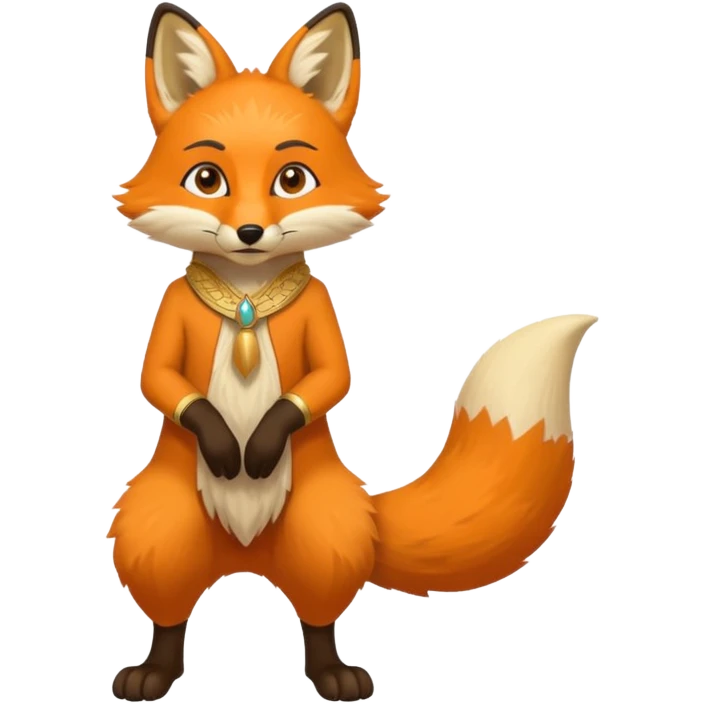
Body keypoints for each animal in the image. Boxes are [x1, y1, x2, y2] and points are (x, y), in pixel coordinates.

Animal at [108, 2, 597, 702]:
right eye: (207, 179)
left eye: (292, 179)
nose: (250, 232)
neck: (248, 298)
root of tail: (245, 554)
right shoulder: (171, 314)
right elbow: (161, 380)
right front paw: (228, 447)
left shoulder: (321, 318)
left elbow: (327, 380)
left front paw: (257, 447)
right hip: (158, 535)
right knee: (170, 616)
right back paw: (155, 671)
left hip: (324, 538)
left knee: (319, 618)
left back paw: (333, 674)